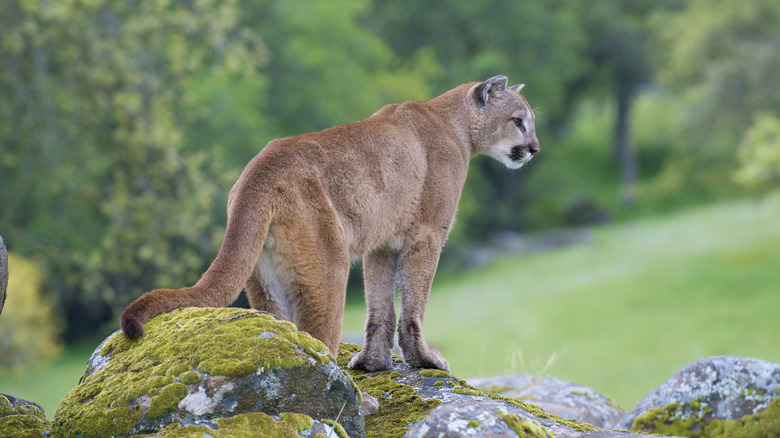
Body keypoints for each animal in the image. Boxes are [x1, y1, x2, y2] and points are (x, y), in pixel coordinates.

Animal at [120, 73, 536, 374]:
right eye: (518, 122)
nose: (535, 148)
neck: (455, 126)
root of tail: (258, 170)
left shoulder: (381, 245)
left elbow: (379, 308)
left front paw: (372, 363)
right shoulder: (427, 235)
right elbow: (413, 306)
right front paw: (424, 359)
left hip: (266, 280)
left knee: (286, 334)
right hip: (328, 266)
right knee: (318, 339)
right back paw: (359, 405)